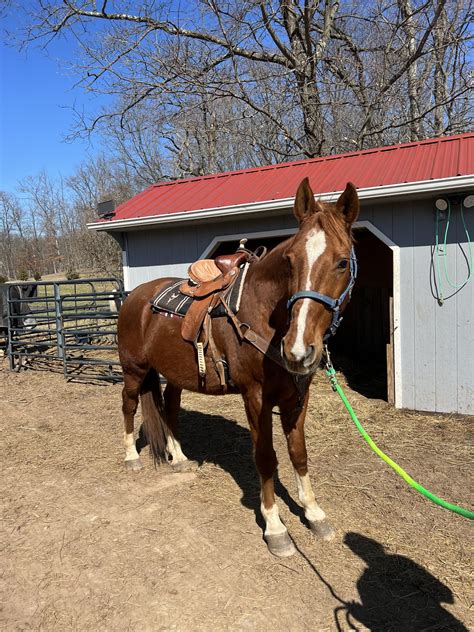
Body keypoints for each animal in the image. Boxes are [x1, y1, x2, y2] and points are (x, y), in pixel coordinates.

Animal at [116, 175, 358, 556]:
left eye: (342, 262)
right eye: (290, 261)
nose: (298, 350)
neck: (264, 316)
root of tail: (135, 297)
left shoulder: (297, 398)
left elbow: (299, 454)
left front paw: (314, 513)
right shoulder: (255, 397)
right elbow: (266, 457)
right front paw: (275, 527)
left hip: (173, 374)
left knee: (169, 408)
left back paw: (178, 456)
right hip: (133, 369)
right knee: (128, 405)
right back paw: (131, 457)